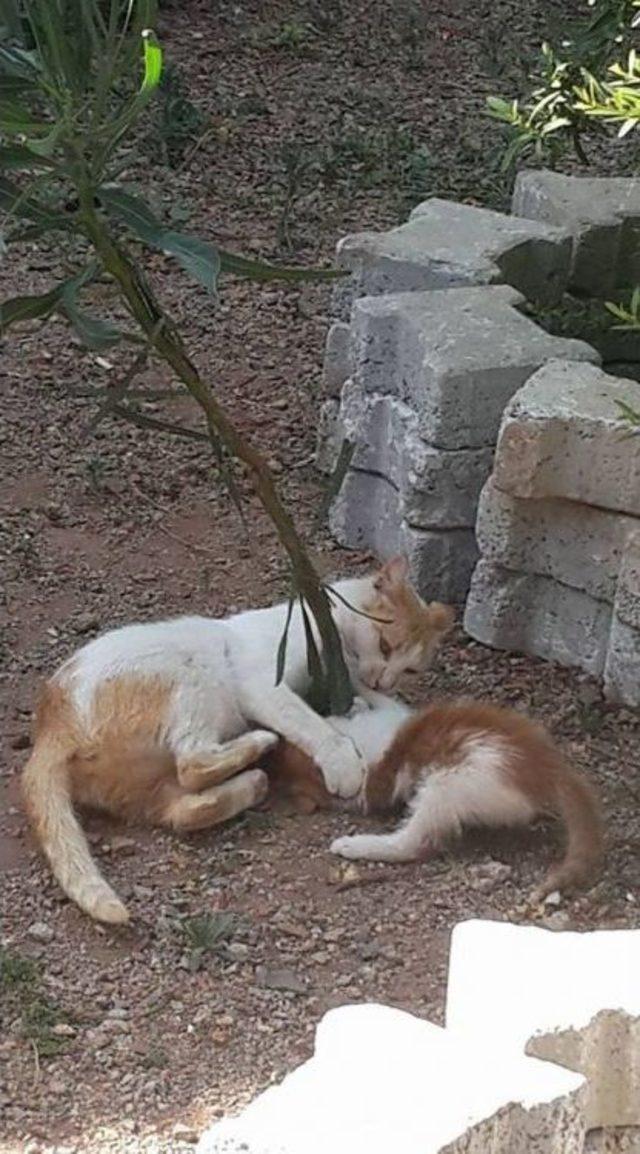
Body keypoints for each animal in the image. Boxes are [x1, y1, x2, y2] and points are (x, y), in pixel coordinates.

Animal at [22, 553, 454, 923]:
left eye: (410, 670)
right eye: (385, 645)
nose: (385, 680)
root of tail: (50, 722)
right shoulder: (265, 684)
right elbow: (313, 724)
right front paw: (343, 762)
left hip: (147, 783)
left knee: (186, 807)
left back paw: (253, 780)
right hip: (190, 677)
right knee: (193, 762)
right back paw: (260, 744)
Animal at [266, 692, 604, 900]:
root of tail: (551, 769)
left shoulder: (391, 722)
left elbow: (381, 698)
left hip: (446, 783)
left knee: (412, 844)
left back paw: (352, 844)